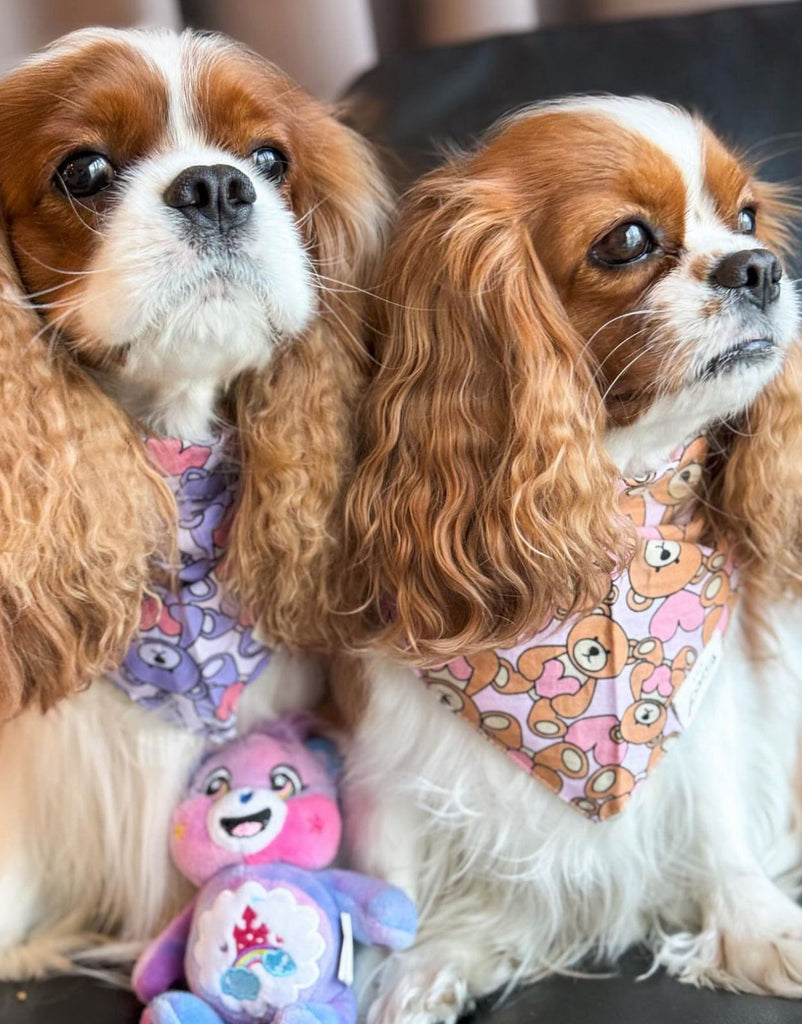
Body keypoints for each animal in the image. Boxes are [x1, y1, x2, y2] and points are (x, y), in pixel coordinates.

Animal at [335, 94, 802, 1015]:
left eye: (746, 218)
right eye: (626, 240)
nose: (759, 267)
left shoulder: (708, 696)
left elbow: (717, 806)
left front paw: (758, 928)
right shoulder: (381, 742)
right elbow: (390, 874)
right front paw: (397, 970)